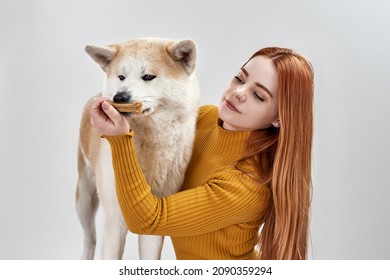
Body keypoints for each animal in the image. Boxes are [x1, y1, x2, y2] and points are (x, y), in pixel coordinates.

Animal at [75, 37, 200, 260]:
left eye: (148, 76)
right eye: (121, 76)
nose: (119, 97)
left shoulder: (157, 218)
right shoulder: (114, 218)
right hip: (84, 199)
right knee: (90, 239)